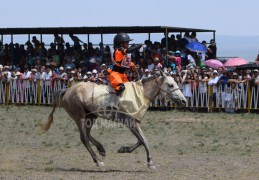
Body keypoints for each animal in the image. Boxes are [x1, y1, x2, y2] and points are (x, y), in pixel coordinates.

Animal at [40, 70, 187, 170]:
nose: (183, 101)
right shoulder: (132, 123)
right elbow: (144, 140)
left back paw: (101, 149)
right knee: (84, 138)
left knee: (87, 135)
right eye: (171, 85)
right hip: (80, 117)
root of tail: (68, 90)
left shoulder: (132, 123)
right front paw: (150, 163)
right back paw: (98, 161)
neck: (141, 93)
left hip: (91, 116)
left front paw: (124, 149)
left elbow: (140, 140)